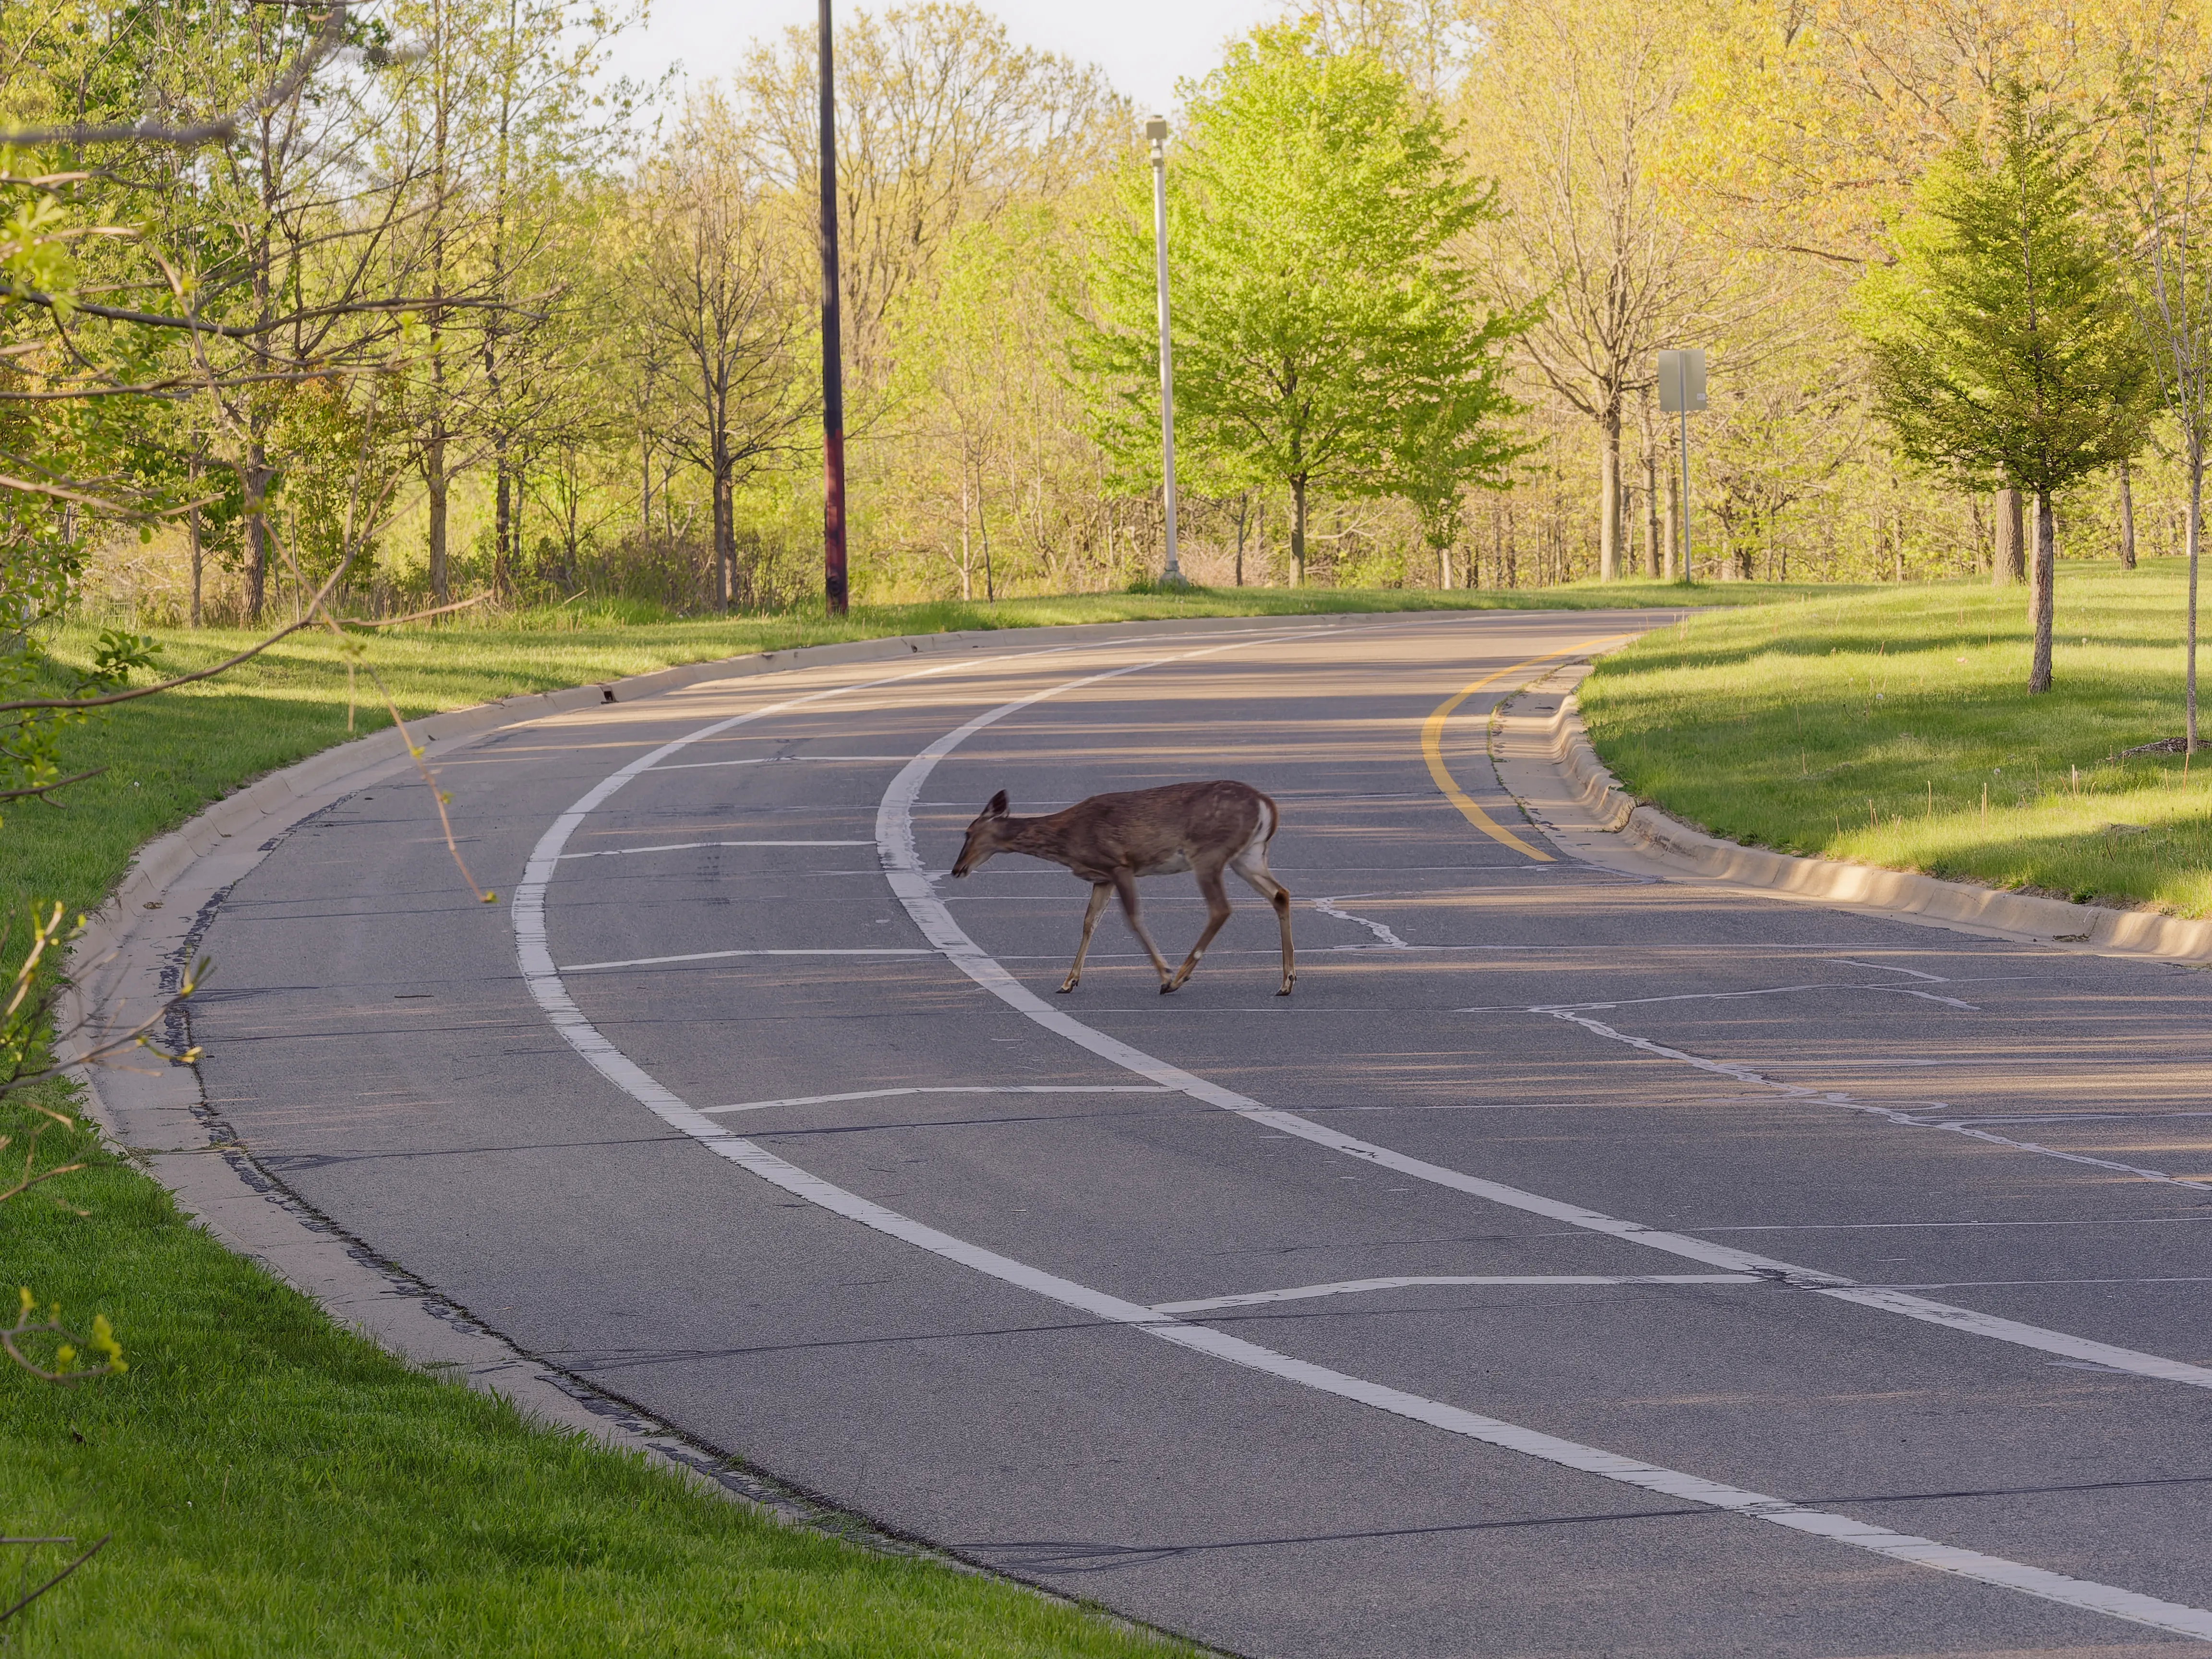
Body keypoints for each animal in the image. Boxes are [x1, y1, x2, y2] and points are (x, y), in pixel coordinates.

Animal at [950, 780, 1296, 997]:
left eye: (968, 832)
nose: (956, 869)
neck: (1067, 839)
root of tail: (1267, 806)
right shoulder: (1102, 877)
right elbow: (1090, 922)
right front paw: (1068, 982)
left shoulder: (1120, 864)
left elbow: (1132, 918)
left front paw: (1164, 974)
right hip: (1248, 856)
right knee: (1281, 894)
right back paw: (1287, 982)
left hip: (1209, 853)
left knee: (1221, 908)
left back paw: (1178, 979)